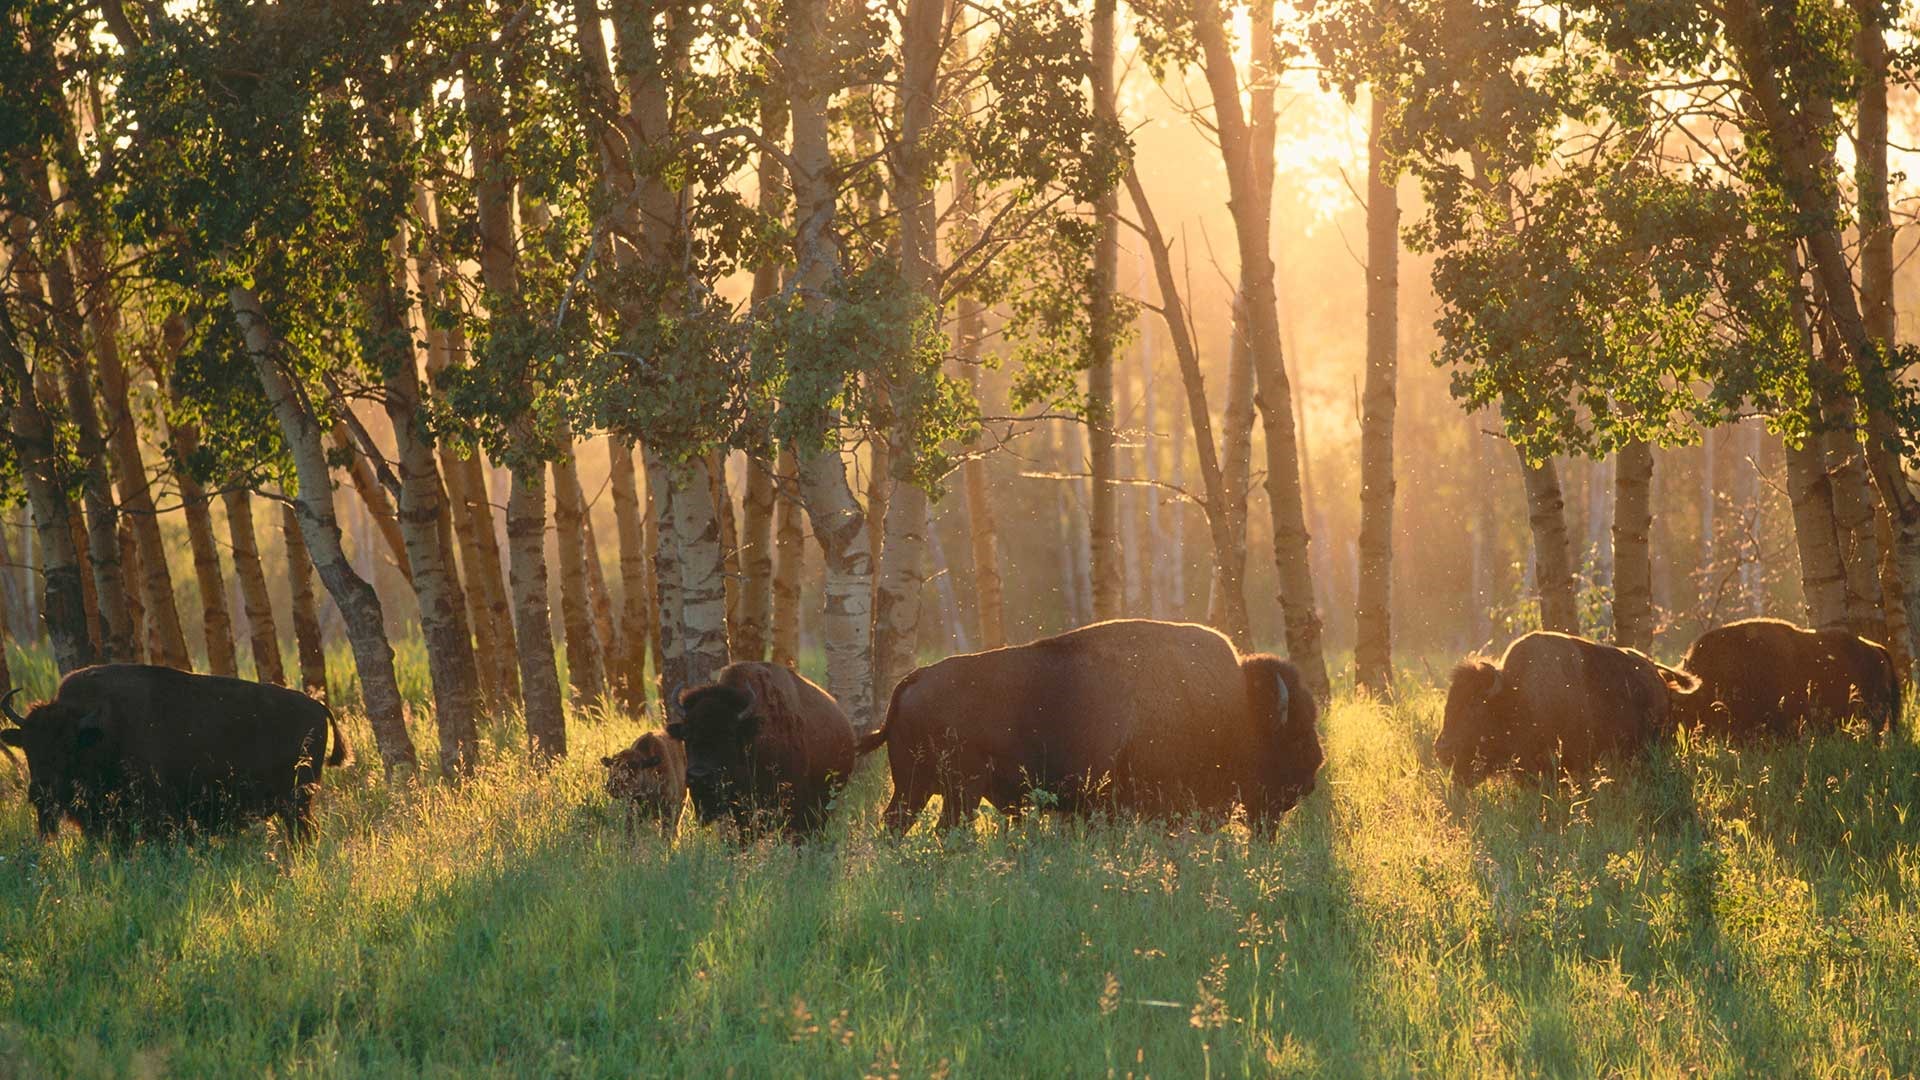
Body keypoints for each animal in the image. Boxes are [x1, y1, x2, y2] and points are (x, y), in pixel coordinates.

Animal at [0, 657, 349, 841]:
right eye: (28, 747)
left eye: (68, 747)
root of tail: (317, 706)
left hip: (297, 801)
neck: (100, 730)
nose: (40, 792)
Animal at [856, 618, 1320, 826]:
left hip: (915, 788)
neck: (1238, 708)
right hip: (958, 792)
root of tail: (913, 679)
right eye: (1294, 737)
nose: (1313, 773)